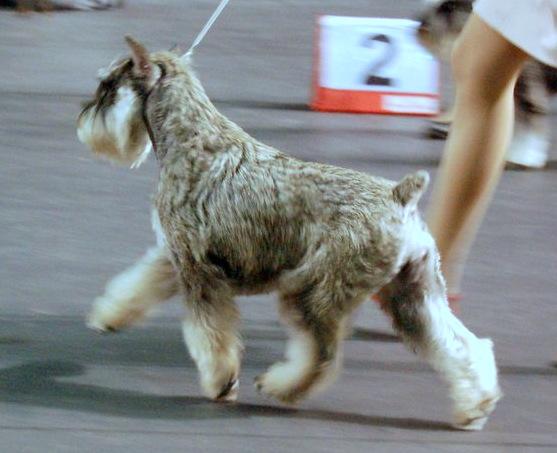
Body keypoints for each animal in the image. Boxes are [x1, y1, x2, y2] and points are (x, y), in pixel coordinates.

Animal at [77, 36, 501, 430]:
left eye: (108, 84)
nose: (83, 120)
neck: (191, 137)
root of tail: (399, 196)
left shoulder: (198, 272)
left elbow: (211, 337)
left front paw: (221, 382)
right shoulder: (172, 256)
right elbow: (139, 283)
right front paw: (110, 315)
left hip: (313, 293)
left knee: (322, 356)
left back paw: (280, 386)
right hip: (412, 294)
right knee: (459, 345)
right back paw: (475, 406)